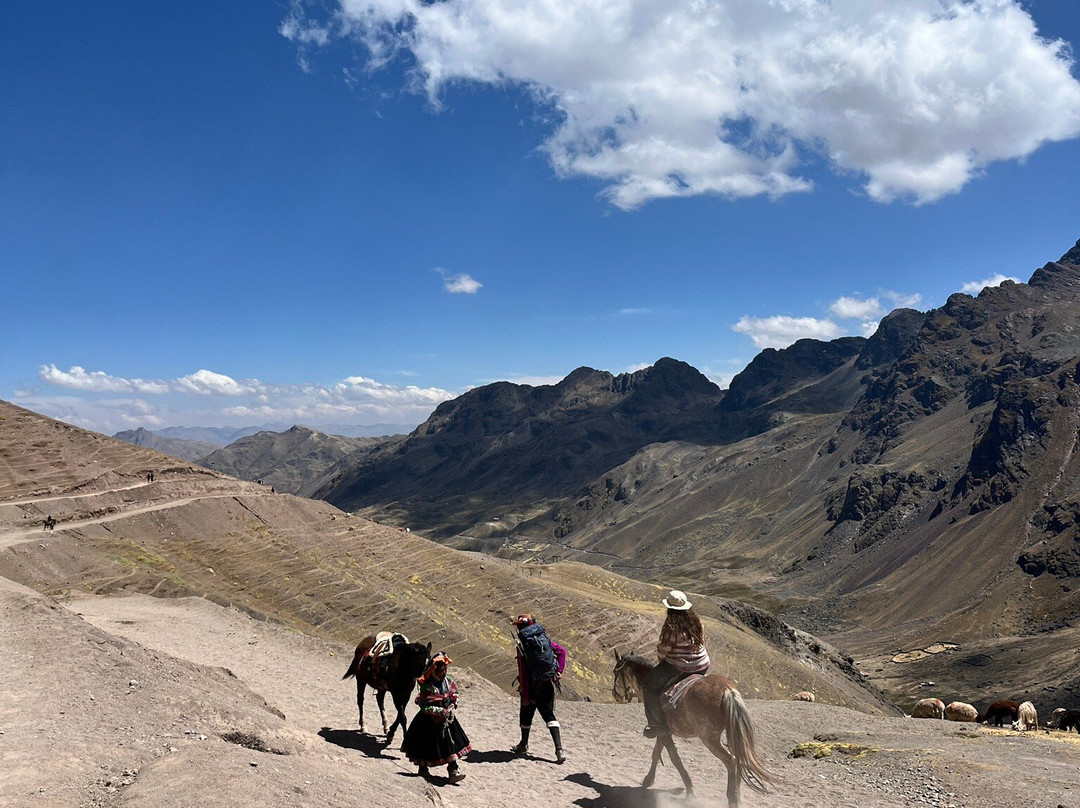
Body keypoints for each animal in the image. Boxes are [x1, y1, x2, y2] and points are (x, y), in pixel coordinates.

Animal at [612, 650, 770, 807]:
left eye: (615, 672)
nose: (615, 694)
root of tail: (727, 690)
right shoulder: (662, 731)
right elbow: (656, 753)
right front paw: (649, 779)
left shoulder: (663, 733)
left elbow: (674, 758)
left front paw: (690, 790)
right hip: (730, 732)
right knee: (738, 759)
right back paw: (737, 796)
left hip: (709, 738)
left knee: (730, 761)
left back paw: (733, 798)